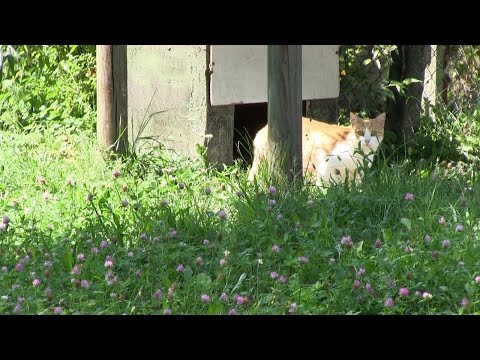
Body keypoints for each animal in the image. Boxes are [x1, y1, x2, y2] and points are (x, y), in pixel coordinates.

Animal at [248, 112, 386, 186]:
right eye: (360, 133)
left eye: (373, 134)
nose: (367, 141)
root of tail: (265, 128)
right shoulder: (319, 149)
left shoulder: (358, 173)